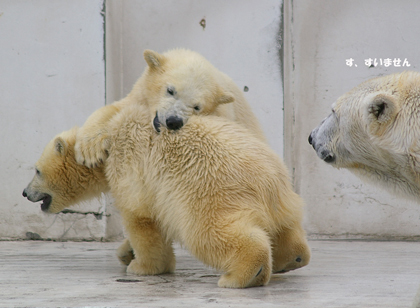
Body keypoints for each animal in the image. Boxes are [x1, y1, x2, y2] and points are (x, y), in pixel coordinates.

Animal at [23, 103, 312, 288]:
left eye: (36, 170)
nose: (25, 192)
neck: (107, 141)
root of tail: (271, 182)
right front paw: (126, 253)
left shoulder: (131, 167)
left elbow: (141, 219)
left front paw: (142, 266)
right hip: (285, 202)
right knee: (285, 231)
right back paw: (291, 258)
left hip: (211, 191)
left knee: (209, 233)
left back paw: (241, 276)